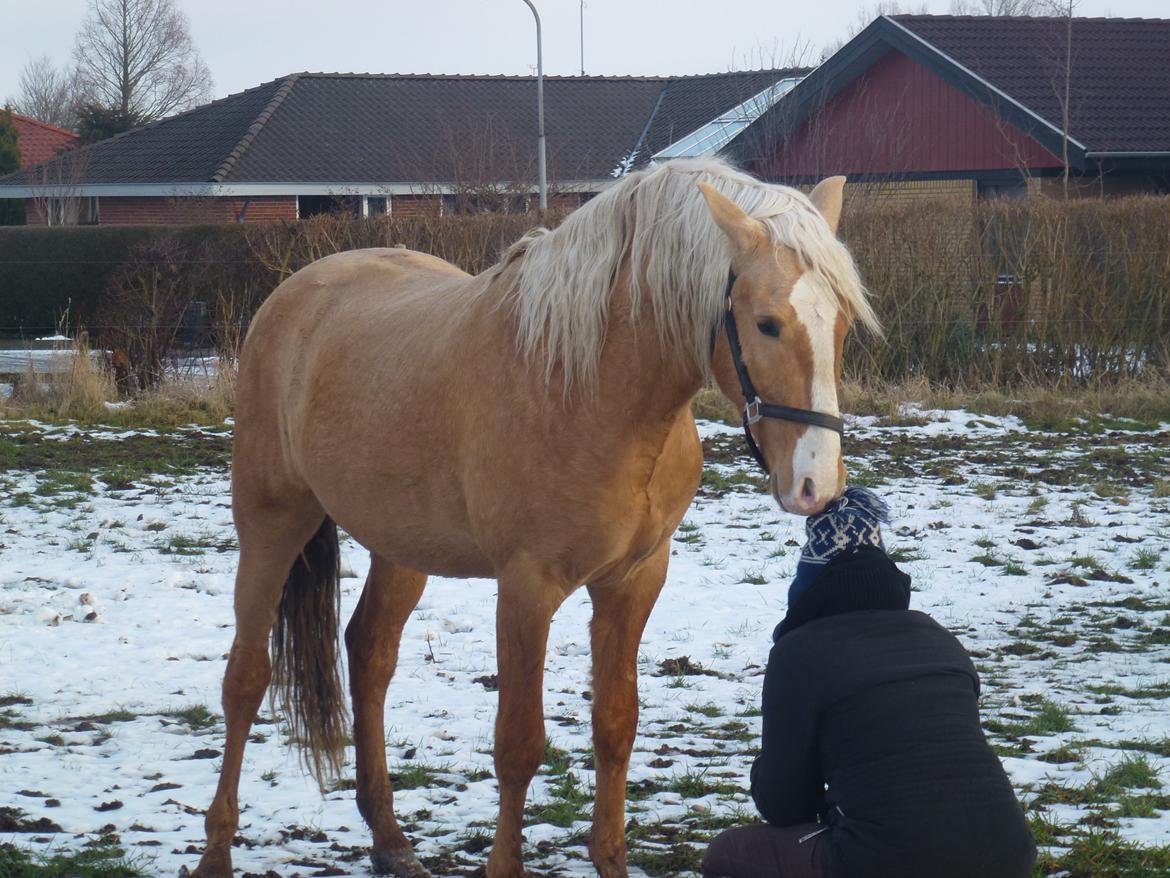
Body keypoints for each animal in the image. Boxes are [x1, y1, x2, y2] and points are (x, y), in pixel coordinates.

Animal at [187, 160, 875, 878]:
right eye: (766, 323)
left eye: (842, 324)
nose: (816, 483)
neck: (590, 389)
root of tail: (293, 294)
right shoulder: (527, 588)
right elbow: (519, 743)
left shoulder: (634, 582)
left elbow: (615, 725)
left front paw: (610, 859)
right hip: (271, 524)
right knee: (245, 679)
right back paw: (216, 852)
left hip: (401, 547)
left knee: (369, 655)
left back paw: (391, 840)